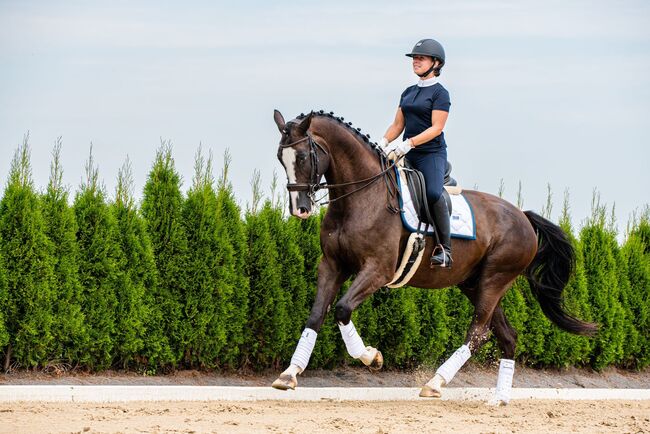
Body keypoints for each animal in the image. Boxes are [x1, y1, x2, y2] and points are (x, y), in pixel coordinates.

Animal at [268, 108, 592, 404]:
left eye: (303, 157)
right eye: (280, 158)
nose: (300, 208)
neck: (361, 197)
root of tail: (523, 216)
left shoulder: (377, 270)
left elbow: (342, 309)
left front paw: (372, 357)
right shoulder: (332, 266)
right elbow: (316, 315)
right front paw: (289, 374)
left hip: (495, 278)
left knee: (478, 333)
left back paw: (435, 383)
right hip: (474, 283)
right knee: (507, 336)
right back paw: (499, 399)